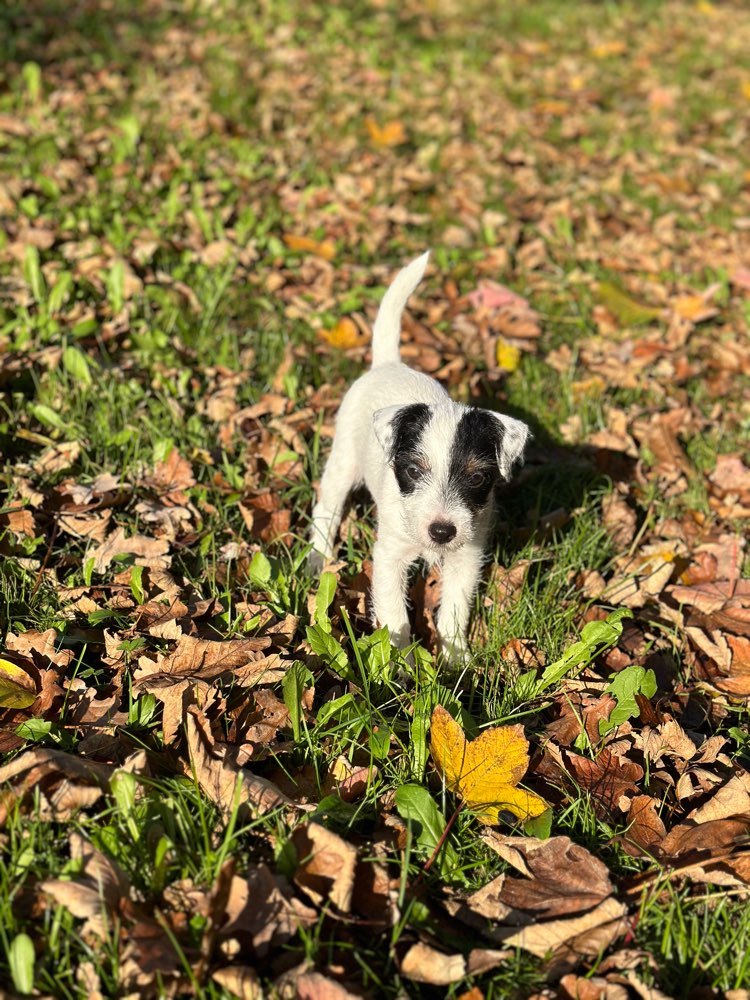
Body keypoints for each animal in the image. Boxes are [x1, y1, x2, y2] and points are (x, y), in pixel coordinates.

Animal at [308, 250, 532, 660]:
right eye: (413, 471)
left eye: (478, 477)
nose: (441, 531)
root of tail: (388, 364)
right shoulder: (389, 557)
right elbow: (394, 615)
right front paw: (399, 661)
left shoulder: (466, 556)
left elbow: (455, 607)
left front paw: (454, 658)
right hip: (343, 460)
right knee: (326, 508)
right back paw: (318, 557)